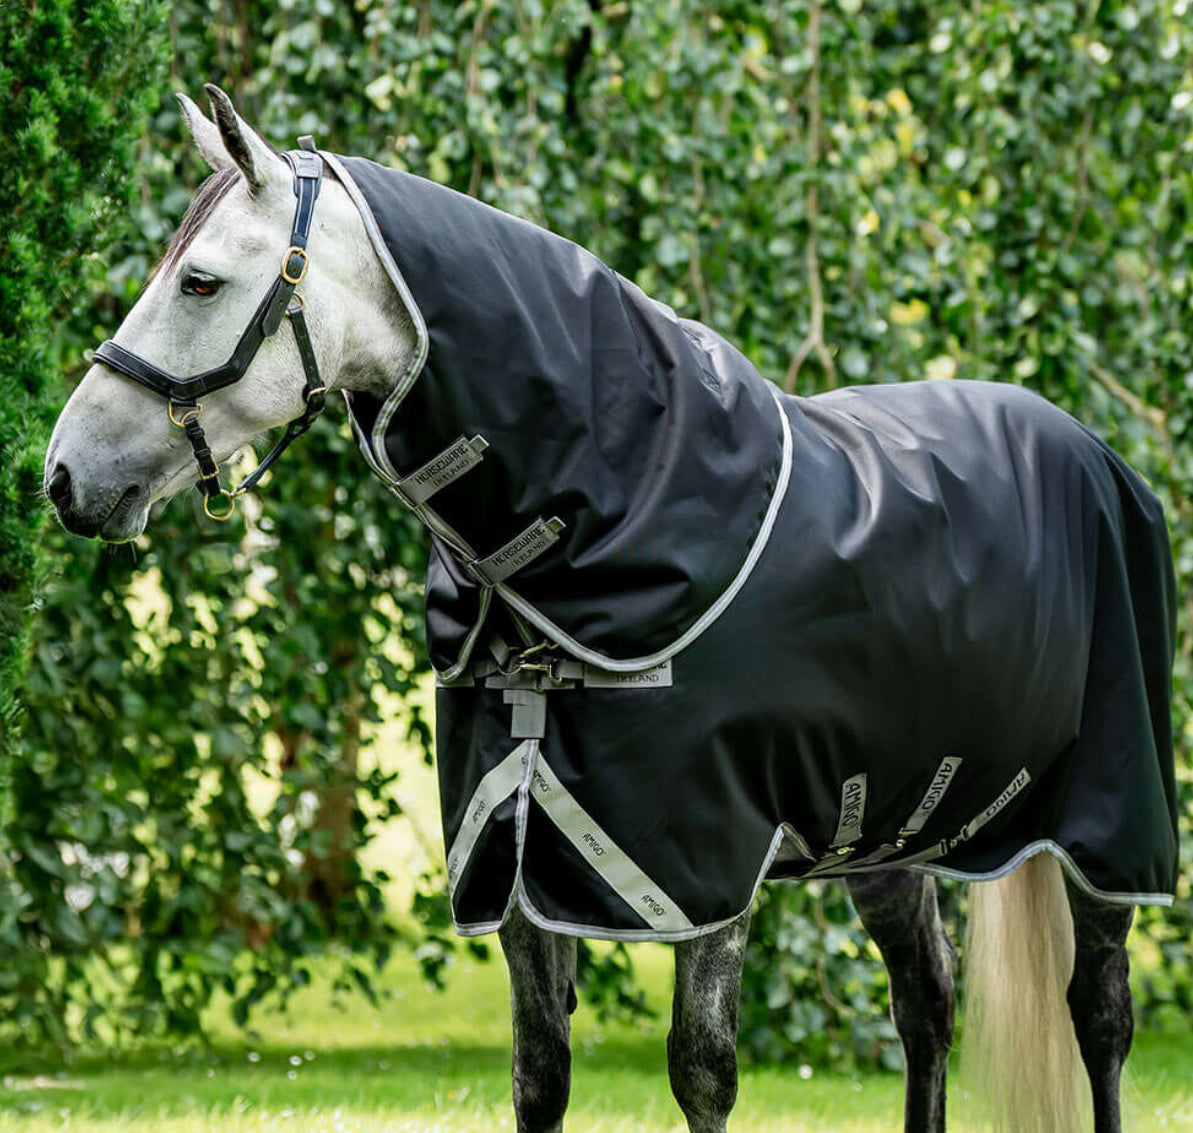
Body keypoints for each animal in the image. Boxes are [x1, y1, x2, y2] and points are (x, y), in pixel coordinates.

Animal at [45, 86, 1177, 1133]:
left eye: (199, 279)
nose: (64, 476)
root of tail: (1095, 452)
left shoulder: (703, 867)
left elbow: (702, 1073)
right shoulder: (509, 856)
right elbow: (538, 1072)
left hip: (1108, 827)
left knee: (1098, 1016)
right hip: (887, 837)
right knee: (926, 1005)